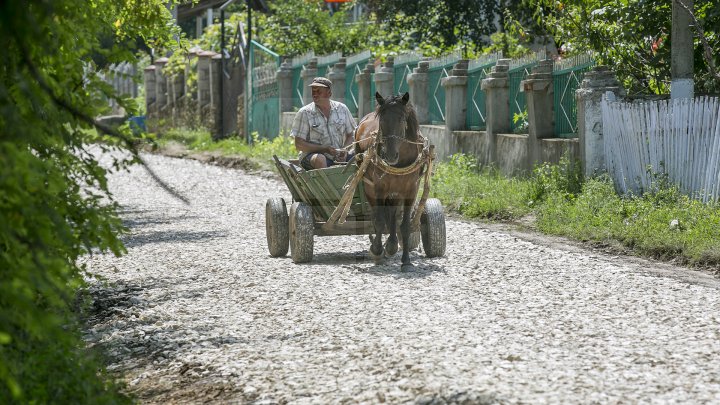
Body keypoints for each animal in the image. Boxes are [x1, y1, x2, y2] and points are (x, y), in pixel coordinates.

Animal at [356, 91, 424, 268]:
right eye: (382, 120)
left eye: (401, 119)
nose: (390, 155)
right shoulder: (380, 187)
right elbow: (380, 220)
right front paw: (376, 250)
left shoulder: (410, 189)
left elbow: (405, 225)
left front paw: (406, 261)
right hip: (369, 186)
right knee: (376, 213)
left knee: (392, 213)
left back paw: (392, 244)